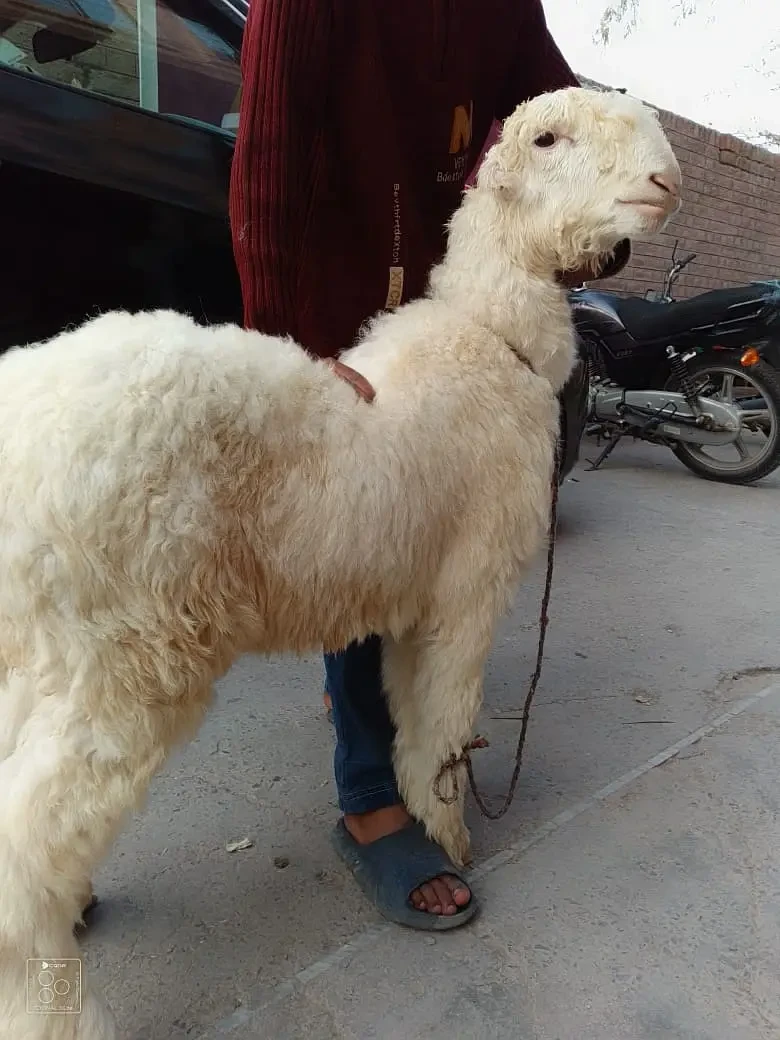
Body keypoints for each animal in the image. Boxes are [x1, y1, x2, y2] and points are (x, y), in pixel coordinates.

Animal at [0, 86, 680, 1040]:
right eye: (547, 139)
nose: (666, 183)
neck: (487, 338)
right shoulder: (467, 593)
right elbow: (442, 719)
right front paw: (448, 838)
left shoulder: (408, 601)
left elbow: (404, 714)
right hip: (125, 655)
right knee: (25, 850)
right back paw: (58, 1010)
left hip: (44, 649)